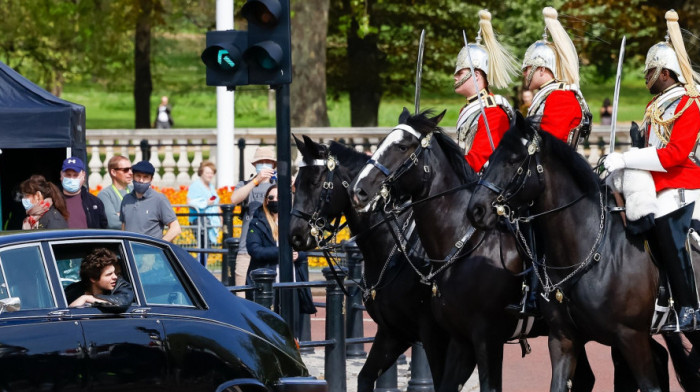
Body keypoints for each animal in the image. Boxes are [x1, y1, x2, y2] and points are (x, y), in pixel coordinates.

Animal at [288, 136, 474, 392]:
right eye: (296, 183)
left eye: (316, 182)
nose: (295, 235)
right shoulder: (392, 333)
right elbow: (365, 377)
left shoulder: (437, 336)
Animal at [348, 108, 616, 392]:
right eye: (382, 142)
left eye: (402, 146)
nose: (358, 191)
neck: (462, 243)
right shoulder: (441, 335)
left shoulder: (482, 337)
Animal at [468, 112, 700, 390]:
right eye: (491, 157)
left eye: (513, 160)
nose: (475, 210)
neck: (591, 249)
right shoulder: (563, 339)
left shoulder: (632, 337)